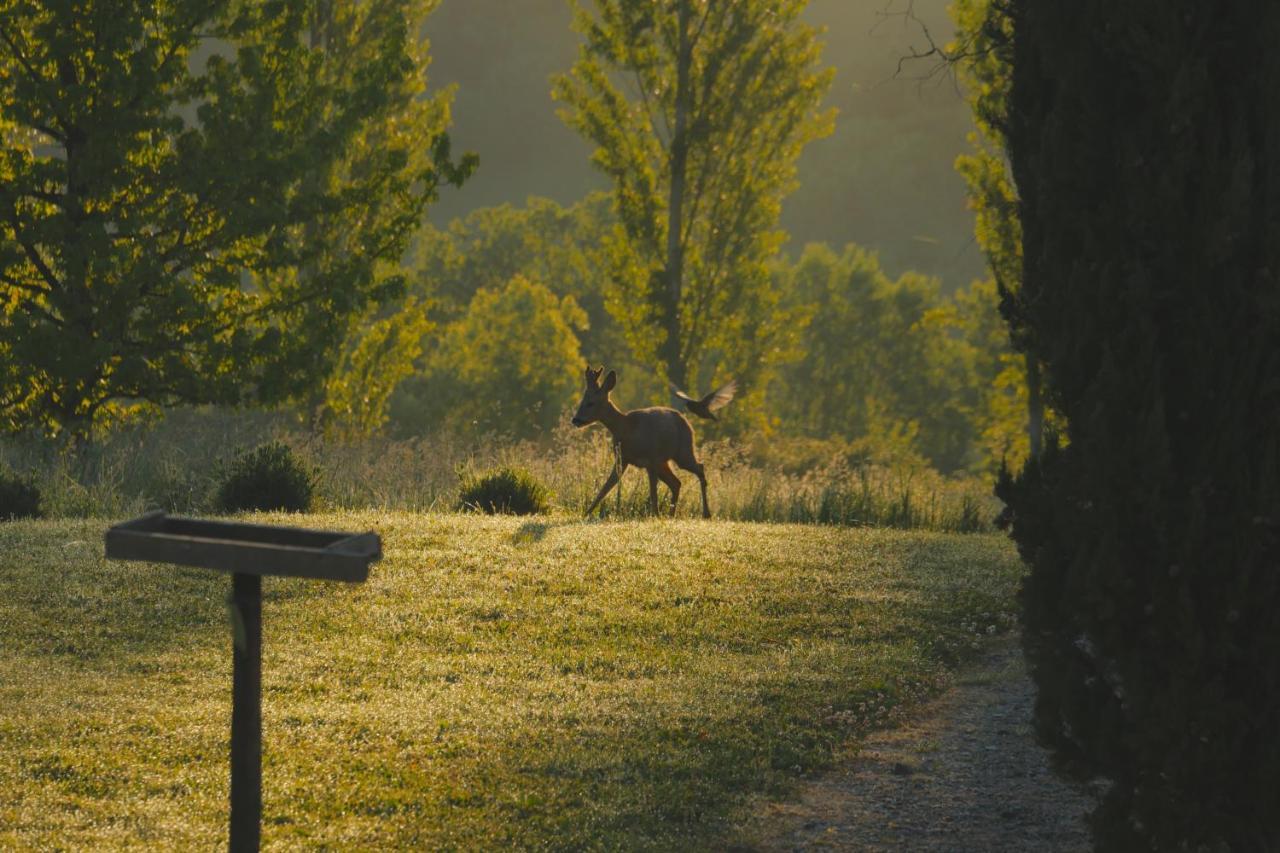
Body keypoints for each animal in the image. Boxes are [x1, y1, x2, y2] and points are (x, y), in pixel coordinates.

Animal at [570, 363, 711, 514]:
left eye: (591, 403)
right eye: (582, 401)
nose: (575, 420)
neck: (626, 427)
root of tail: (687, 423)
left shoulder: (651, 458)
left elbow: (653, 493)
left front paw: (655, 514)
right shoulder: (623, 458)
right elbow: (606, 487)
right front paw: (586, 513)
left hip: (683, 451)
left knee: (699, 468)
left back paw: (705, 513)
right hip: (665, 461)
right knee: (677, 483)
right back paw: (671, 513)